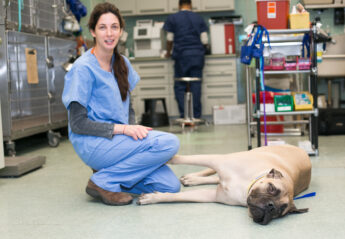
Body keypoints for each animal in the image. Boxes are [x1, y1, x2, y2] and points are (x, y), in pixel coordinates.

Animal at [138, 145, 312, 225]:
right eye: (271, 189)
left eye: (280, 211)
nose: (271, 206)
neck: (246, 185)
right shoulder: (216, 160)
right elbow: (180, 159)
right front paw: (166, 158)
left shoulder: (211, 195)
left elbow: (178, 197)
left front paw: (154, 198)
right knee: (210, 173)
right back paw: (192, 177)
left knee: (214, 179)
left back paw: (192, 179)